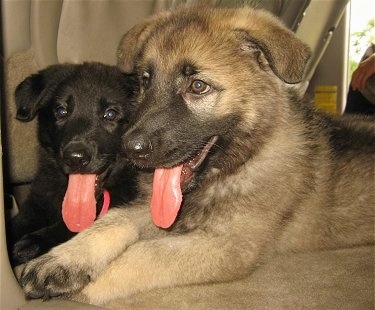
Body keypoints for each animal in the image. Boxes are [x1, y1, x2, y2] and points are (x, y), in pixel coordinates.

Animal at [7, 61, 140, 266]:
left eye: (110, 114)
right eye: (61, 111)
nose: (75, 157)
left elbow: (69, 227)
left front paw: (33, 242)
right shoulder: (38, 202)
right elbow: (19, 222)